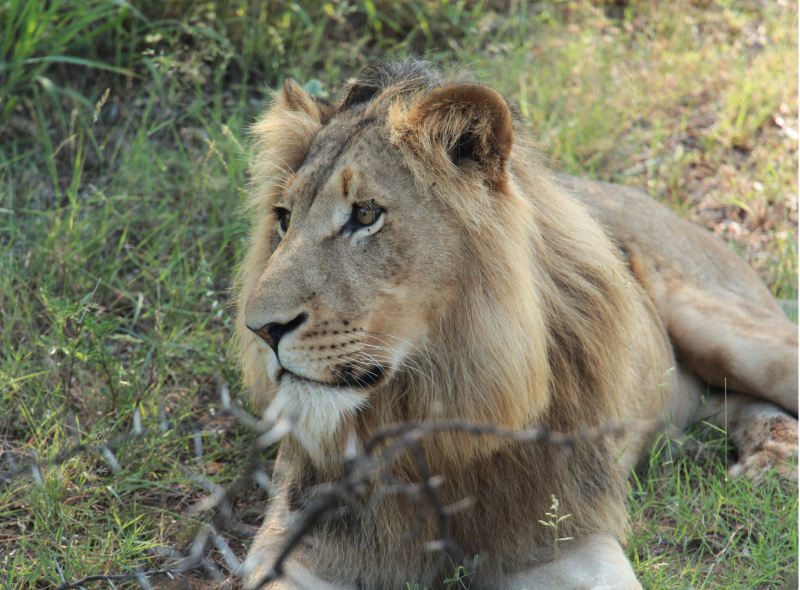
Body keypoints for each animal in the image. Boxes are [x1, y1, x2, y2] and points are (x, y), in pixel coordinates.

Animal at [233, 61, 798, 589]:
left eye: (366, 214)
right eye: (284, 218)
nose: (261, 330)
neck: (430, 405)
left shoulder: (563, 539)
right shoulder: (299, 548)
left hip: (728, 328)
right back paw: (772, 456)